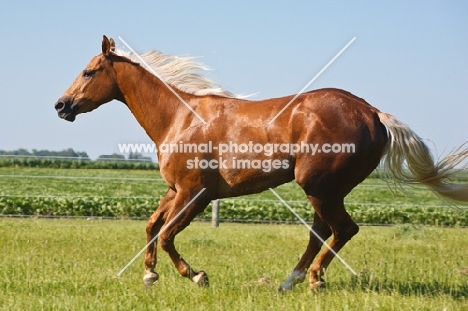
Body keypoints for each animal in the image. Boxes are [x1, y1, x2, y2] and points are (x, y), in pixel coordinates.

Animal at [54, 36, 468, 292]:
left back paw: (314, 279)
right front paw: (149, 275)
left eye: (89, 71)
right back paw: (290, 281)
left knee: (343, 230)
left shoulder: (195, 192)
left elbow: (168, 233)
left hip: (318, 187)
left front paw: (196, 276)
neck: (180, 117)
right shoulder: (175, 190)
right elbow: (152, 226)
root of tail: (374, 113)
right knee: (322, 232)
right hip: (327, 191)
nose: (61, 105)